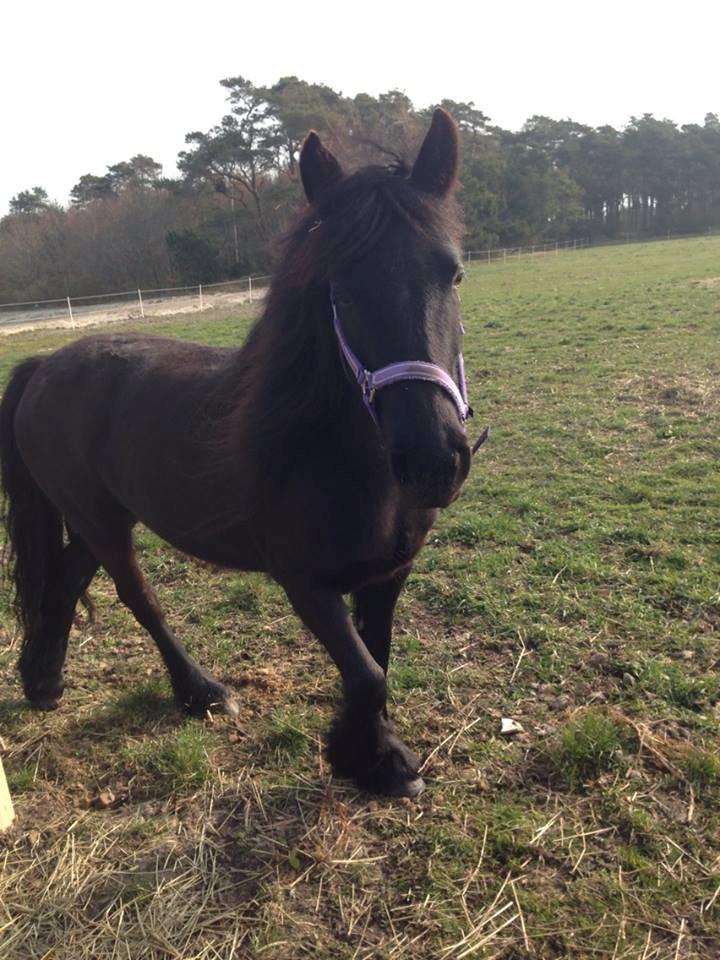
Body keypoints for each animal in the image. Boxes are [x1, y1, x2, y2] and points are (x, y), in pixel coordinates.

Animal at [0, 109, 474, 798]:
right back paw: (200, 692)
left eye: (454, 273)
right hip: (102, 521)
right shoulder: (304, 583)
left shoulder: (387, 575)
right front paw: (370, 759)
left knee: (64, 579)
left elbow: (377, 659)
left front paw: (375, 753)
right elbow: (366, 674)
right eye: (339, 287)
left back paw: (43, 681)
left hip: (96, 515)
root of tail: (44, 365)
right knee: (138, 598)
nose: (433, 460)